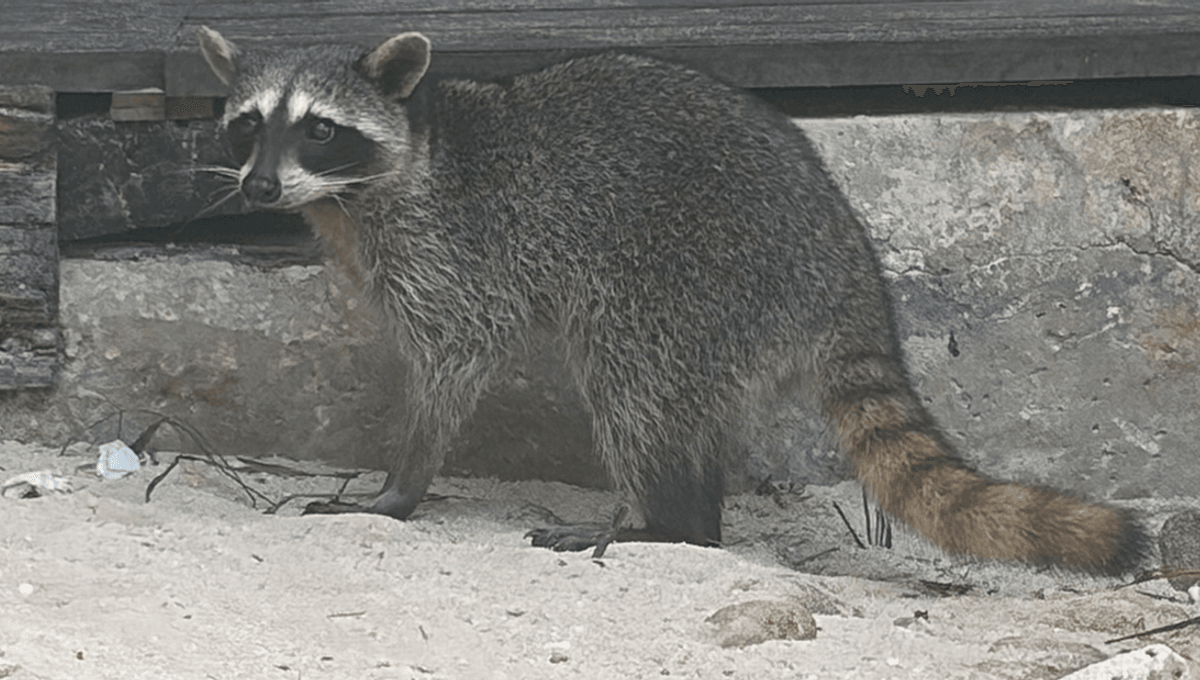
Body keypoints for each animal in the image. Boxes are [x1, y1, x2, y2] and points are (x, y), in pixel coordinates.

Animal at [198, 26, 1142, 570]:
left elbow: (459, 358)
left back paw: (670, 521)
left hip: (691, 279)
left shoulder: (454, 249)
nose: (257, 187)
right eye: (248, 124)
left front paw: (404, 483)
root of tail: (842, 260)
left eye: (320, 128)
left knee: (631, 386)